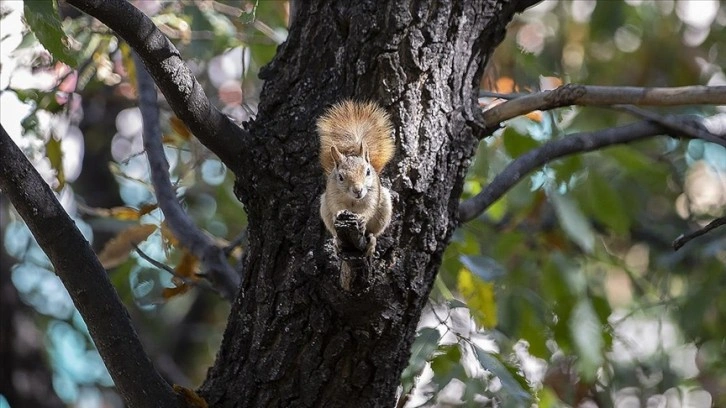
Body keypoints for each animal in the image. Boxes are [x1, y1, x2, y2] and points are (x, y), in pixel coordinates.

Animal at [320, 100, 398, 255]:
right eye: (340, 177)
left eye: (368, 172)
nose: (358, 190)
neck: (353, 200)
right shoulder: (332, 193)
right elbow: (336, 205)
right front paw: (339, 212)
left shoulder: (373, 195)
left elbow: (369, 208)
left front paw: (362, 218)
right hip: (324, 209)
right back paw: (337, 241)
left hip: (384, 210)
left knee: (372, 232)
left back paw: (371, 242)